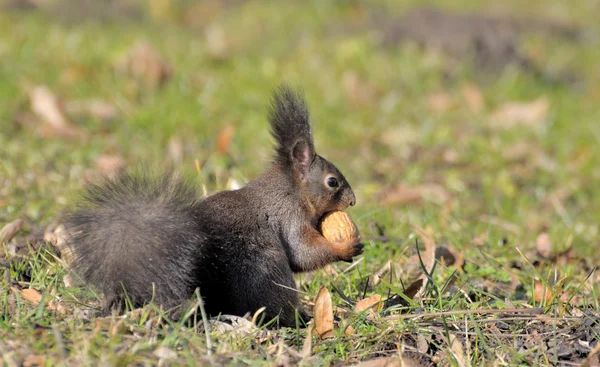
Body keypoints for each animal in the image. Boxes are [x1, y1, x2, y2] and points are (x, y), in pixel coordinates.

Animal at [66, 87, 366, 328]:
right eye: (332, 182)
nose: (352, 200)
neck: (291, 189)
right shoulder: (289, 216)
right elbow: (303, 252)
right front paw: (345, 248)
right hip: (267, 269)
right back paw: (299, 320)